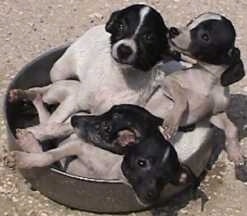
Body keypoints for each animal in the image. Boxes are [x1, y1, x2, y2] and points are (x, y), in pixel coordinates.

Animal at [139, 12, 245, 181]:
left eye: (205, 36)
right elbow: (182, 99)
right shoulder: (168, 82)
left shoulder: (213, 114)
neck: (207, 82)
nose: (172, 30)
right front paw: (172, 122)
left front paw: (235, 153)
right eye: (190, 22)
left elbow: (232, 128)